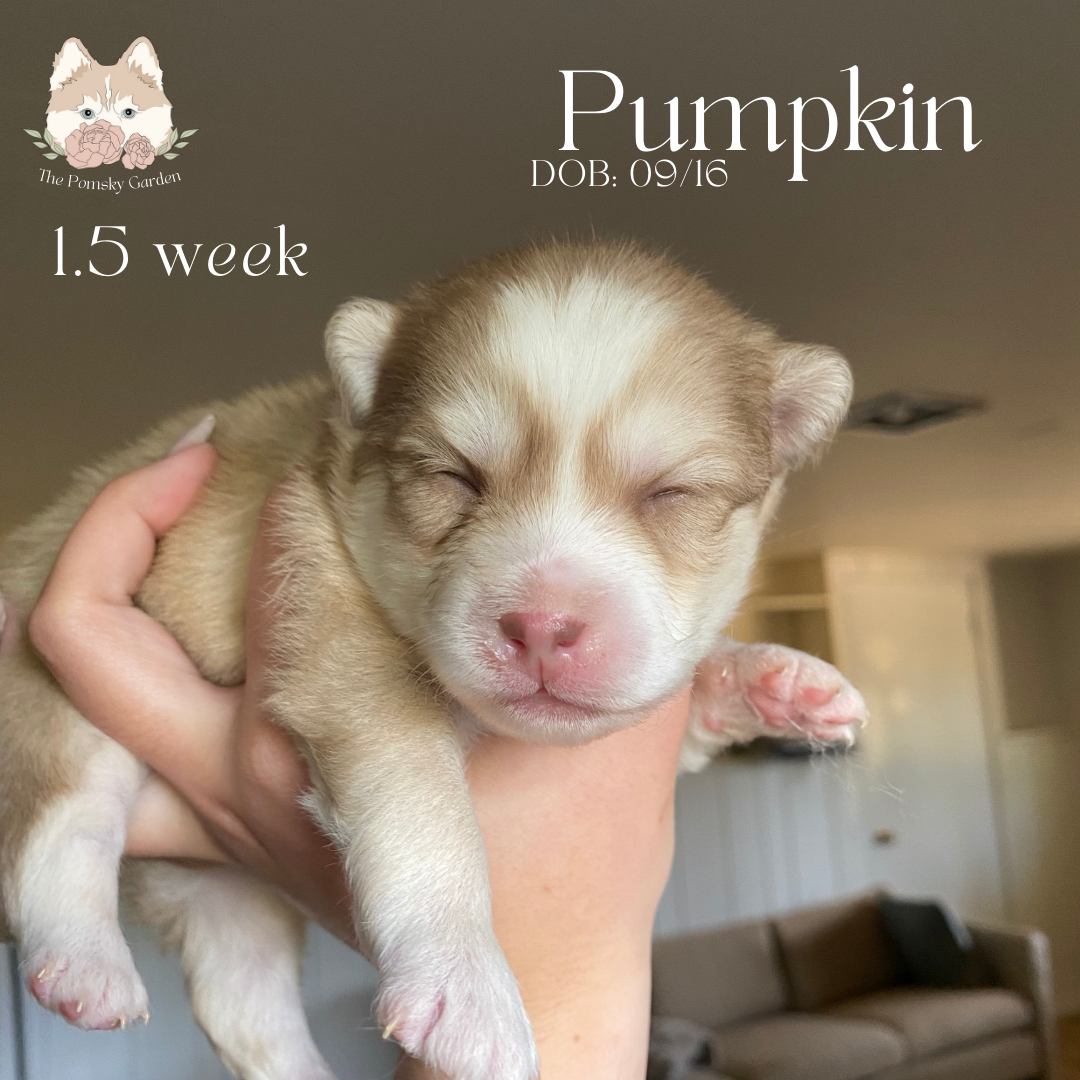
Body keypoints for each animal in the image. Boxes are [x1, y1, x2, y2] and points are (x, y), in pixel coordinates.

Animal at [0, 240, 866, 1080]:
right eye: (455, 479)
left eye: (669, 493)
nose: (542, 626)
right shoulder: (342, 638)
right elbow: (425, 807)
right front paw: (464, 978)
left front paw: (769, 678)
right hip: (56, 695)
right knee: (61, 831)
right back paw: (84, 962)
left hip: (229, 892)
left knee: (241, 993)